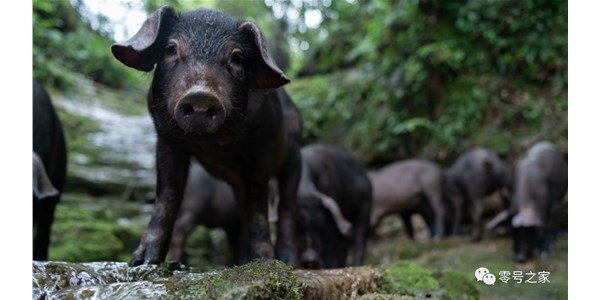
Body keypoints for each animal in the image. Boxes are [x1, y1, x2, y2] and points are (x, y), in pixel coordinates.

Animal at [110, 5, 302, 266]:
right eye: (171, 48)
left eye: (237, 58)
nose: (201, 95)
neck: (212, 143)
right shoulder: (167, 140)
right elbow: (167, 196)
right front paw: (142, 262)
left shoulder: (262, 149)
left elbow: (258, 209)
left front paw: (266, 263)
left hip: (294, 155)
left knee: (287, 206)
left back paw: (289, 263)